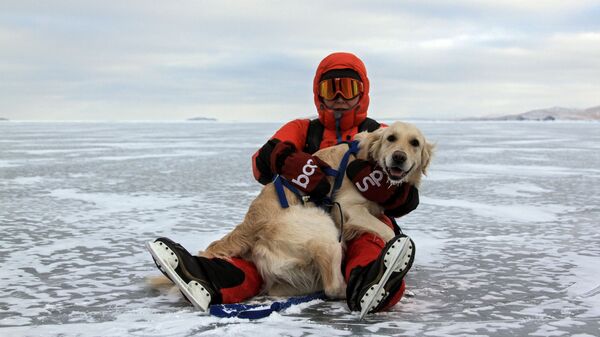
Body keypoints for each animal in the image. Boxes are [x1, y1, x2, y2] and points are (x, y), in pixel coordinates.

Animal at [199, 121, 434, 296]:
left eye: (414, 143)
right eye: (391, 138)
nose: (399, 157)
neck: (369, 163)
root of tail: (252, 225)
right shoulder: (347, 208)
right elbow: (387, 231)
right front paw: (398, 252)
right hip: (324, 227)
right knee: (332, 287)